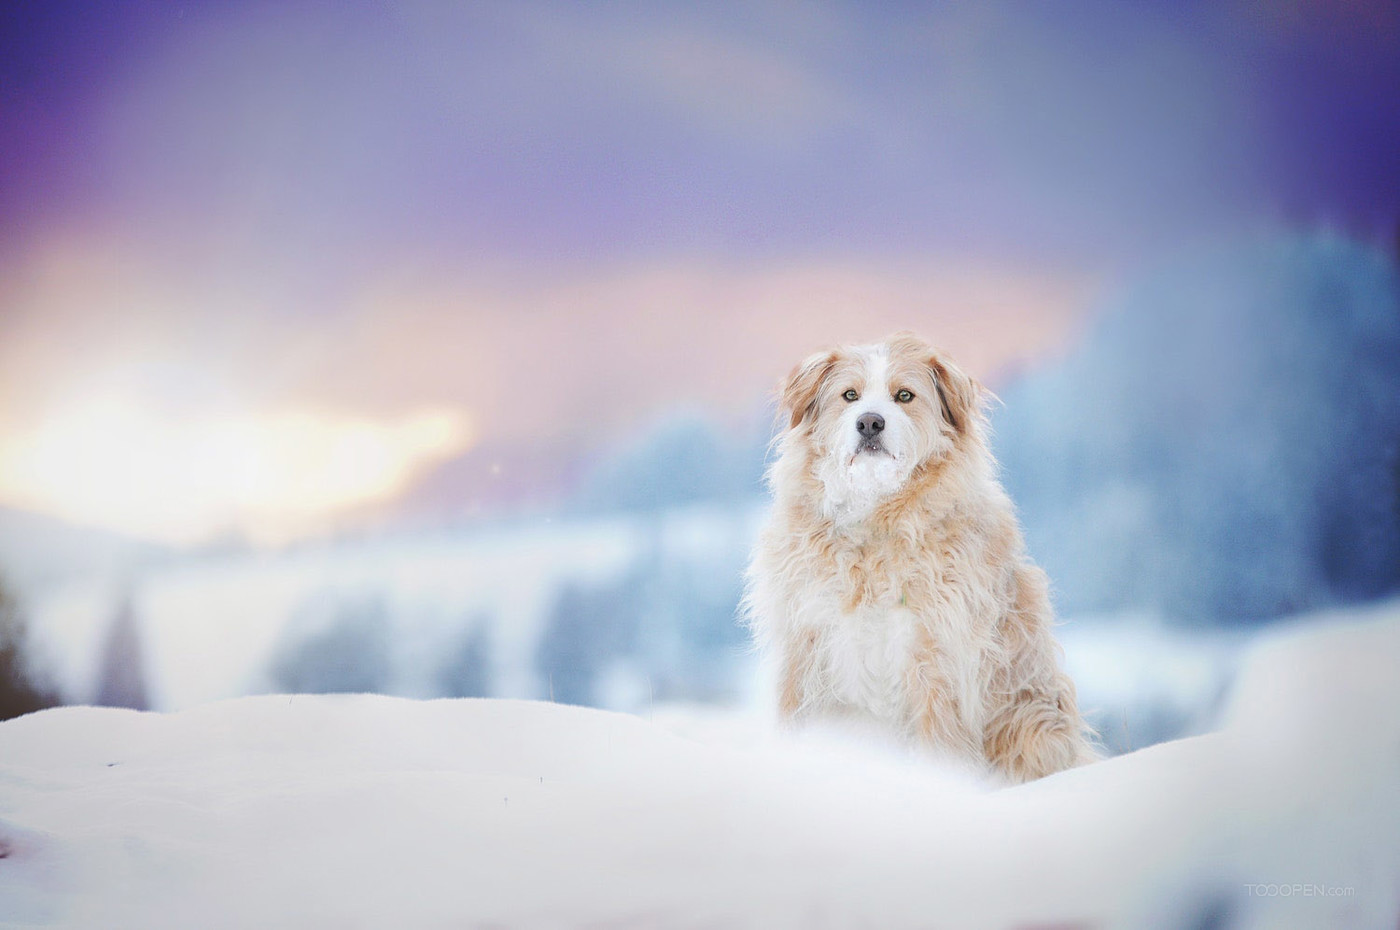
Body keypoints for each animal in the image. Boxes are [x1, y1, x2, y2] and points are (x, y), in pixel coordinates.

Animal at [750, 330, 1097, 778]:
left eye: (904, 395)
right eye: (850, 395)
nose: (870, 422)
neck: (875, 528)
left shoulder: (938, 655)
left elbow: (939, 739)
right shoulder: (805, 643)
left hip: (1033, 724)